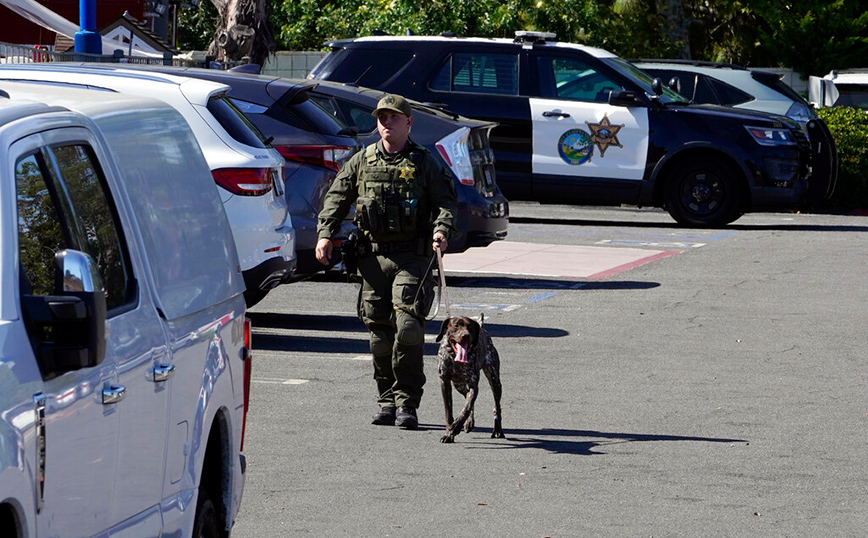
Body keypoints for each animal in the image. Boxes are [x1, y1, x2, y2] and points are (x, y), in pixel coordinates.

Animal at [438, 312, 506, 442]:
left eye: (470, 327)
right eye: (456, 325)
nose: (465, 335)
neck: (455, 358)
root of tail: (482, 327)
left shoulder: (473, 385)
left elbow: (466, 408)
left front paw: (455, 427)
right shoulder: (445, 383)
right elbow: (449, 413)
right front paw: (448, 434)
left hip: (495, 381)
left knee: (497, 407)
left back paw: (497, 430)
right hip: (459, 386)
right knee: (467, 398)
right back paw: (469, 422)